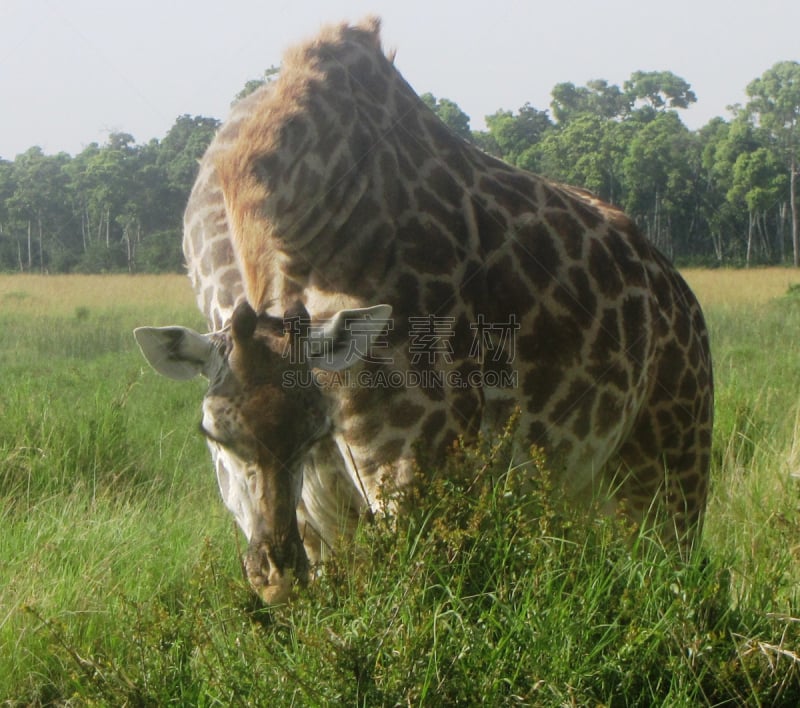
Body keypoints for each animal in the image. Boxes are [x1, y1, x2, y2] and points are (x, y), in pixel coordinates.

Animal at [134, 16, 716, 604]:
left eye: (316, 428)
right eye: (211, 432)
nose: (276, 576)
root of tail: (681, 296)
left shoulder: (420, 474)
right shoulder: (318, 509)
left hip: (671, 462)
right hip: (582, 486)